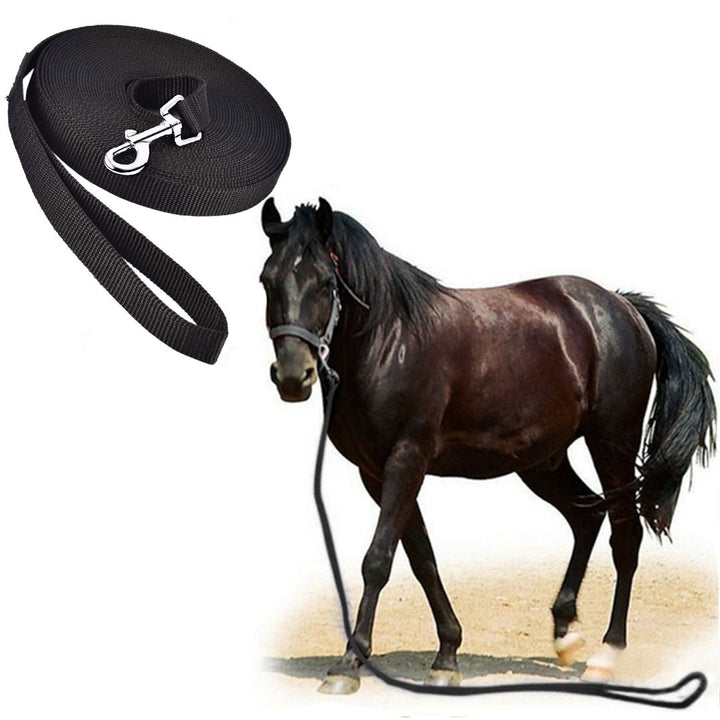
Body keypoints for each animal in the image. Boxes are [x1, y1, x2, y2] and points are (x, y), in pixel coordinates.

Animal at [259, 197, 715, 694]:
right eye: (267, 279)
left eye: (326, 282)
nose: (292, 376)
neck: (389, 341)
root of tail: (622, 307)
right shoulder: (377, 473)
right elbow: (422, 559)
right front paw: (446, 656)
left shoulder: (406, 460)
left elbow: (377, 559)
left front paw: (348, 664)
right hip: (542, 462)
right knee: (586, 516)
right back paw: (565, 633)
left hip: (612, 443)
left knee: (624, 534)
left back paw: (605, 656)